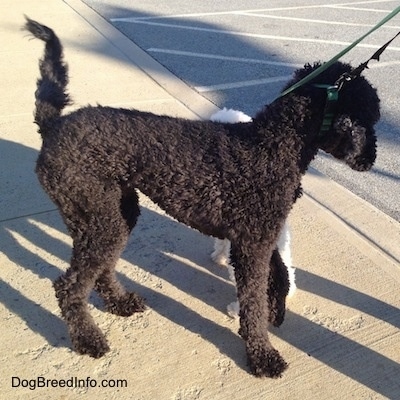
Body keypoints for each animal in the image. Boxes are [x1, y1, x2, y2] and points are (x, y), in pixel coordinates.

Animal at [23, 17, 380, 376]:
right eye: (368, 119)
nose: (371, 159)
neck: (272, 144)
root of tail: (53, 125)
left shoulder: (262, 236)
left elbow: (276, 279)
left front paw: (273, 316)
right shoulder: (253, 243)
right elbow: (254, 301)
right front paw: (262, 354)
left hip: (115, 212)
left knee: (102, 268)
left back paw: (120, 303)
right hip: (96, 215)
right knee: (69, 285)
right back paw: (88, 339)